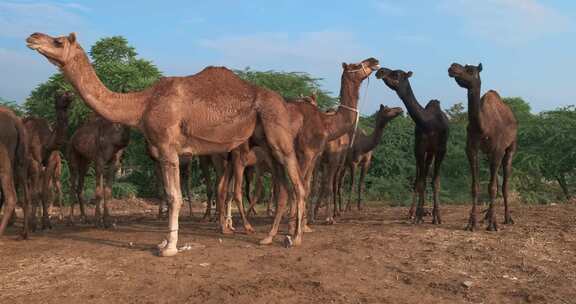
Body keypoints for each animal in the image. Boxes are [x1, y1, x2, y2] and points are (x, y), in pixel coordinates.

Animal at [22, 91, 72, 229]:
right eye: (58, 95)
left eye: (68, 93)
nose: (70, 95)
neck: (46, 143)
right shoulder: (35, 162)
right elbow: (35, 194)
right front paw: (33, 224)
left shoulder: (50, 163)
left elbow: (43, 193)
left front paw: (46, 223)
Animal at [28, 32, 310, 256]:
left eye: (58, 40)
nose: (32, 37)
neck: (142, 104)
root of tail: (282, 102)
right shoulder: (164, 152)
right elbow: (168, 192)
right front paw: (163, 243)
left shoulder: (167, 148)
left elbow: (174, 196)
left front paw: (169, 248)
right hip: (265, 144)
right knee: (283, 188)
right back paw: (269, 238)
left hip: (278, 134)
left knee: (297, 184)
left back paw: (296, 238)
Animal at [376, 67, 452, 224]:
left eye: (396, 73)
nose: (380, 71)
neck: (428, 123)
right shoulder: (419, 149)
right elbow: (420, 182)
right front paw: (418, 217)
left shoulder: (441, 149)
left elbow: (436, 182)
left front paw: (438, 217)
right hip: (423, 152)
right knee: (419, 179)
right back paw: (413, 213)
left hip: (432, 152)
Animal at [448, 63, 520, 230]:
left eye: (470, 70)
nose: (452, 67)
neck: (483, 126)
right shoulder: (471, 149)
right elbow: (475, 187)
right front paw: (471, 223)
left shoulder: (498, 150)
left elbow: (492, 188)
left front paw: (493, 224)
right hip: (488, 154)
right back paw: (487, 216)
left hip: (511, 147)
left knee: (504, 183)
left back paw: (507, 218)